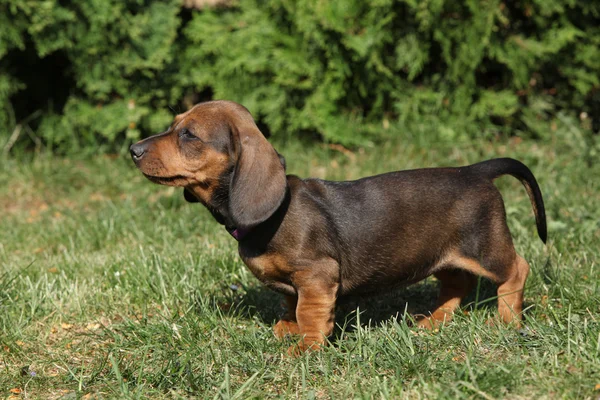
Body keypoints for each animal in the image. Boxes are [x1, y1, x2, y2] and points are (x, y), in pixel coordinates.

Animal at [129, 101, 548, 354]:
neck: (270, 216)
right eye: (174, 126)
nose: (133, 150)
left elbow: (311, 310)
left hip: (484, 247)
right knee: (456, 284)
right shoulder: (296, 284)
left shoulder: (317, 274)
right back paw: (433, 322)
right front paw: (289, 328)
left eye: (189, 135)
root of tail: (475, 170)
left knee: (517, 269)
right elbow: (291, 304)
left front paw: (307, 345)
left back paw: (507, 319)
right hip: (441, 255)